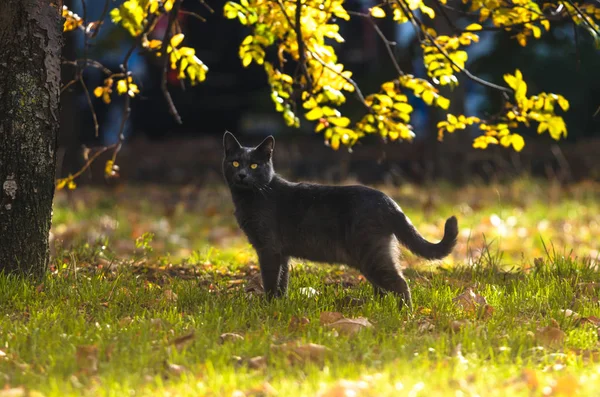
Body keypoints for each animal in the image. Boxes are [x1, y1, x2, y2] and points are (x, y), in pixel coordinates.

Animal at [221, 131, 460, 308]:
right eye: (235, 163)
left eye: (254, 165)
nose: (242, 174)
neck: (254, 195)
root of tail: (389, 201)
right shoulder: (283, 253)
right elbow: (283, 281)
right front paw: (281, 304)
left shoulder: (268, 249)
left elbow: (270, 280)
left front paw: (268, 307)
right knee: (384, 287)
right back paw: (382, 310)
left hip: (370, 253)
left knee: (400, 283)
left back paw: (404, 315)